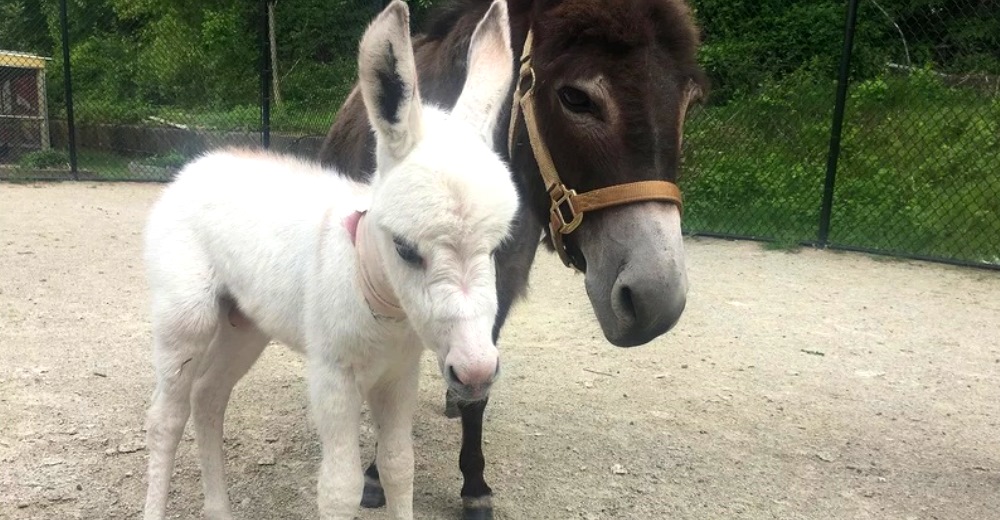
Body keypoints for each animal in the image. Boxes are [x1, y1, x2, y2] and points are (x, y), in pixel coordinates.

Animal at [141, 2, 516, 516]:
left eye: (496, 247)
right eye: (405, 248)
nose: (476, 373)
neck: (377, 298)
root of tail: (198, 164)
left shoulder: (399, 376)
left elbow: (398, 465)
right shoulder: (333, 378)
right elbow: (340, 487)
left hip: (245, 325)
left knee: (208, 397)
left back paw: (218, 508)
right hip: (185, 319)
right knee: (166, 417)